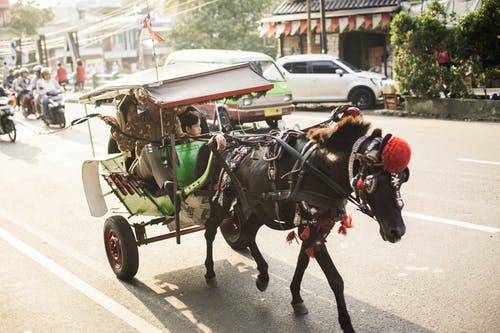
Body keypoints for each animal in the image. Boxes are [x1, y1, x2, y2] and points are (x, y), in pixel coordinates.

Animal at [201, 110, 408, 330]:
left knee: (248, 234)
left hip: (259, 207)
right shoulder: (311, 228)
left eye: (402, 180)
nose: (397, 231)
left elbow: (303, 262)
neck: (321, 170)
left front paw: (296, 298)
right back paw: (210, 272)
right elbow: (335, 279)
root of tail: (228, 141)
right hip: (224, 199)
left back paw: (263, 275)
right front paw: (346, 323)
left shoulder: (315, 227)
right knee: (210, 230)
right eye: (375, 183)